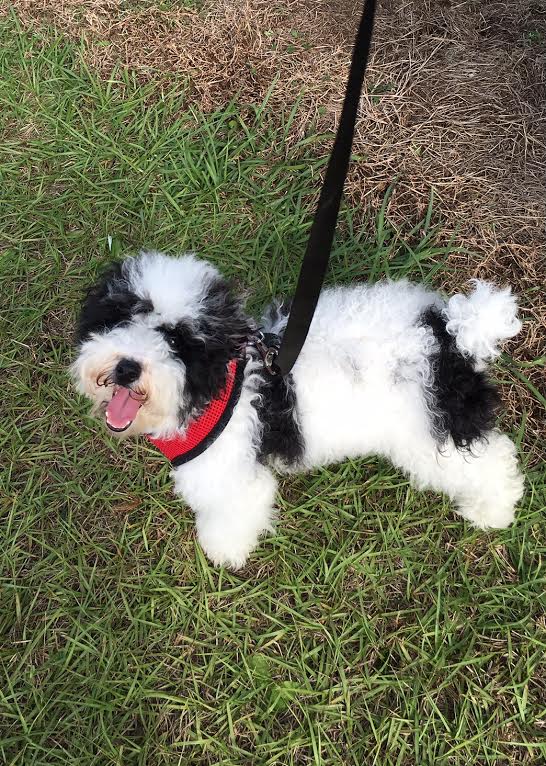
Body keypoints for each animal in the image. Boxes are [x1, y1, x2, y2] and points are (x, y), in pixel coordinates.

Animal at [72, 252, 524, 568]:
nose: (127, 367)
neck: (225, 384)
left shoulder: (233, 473)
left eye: (177, 340)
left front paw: (224, 552)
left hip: (433, 431)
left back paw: (493, 510)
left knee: (493, 460)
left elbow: (234, 511)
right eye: (119, 318)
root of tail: (450, 333)